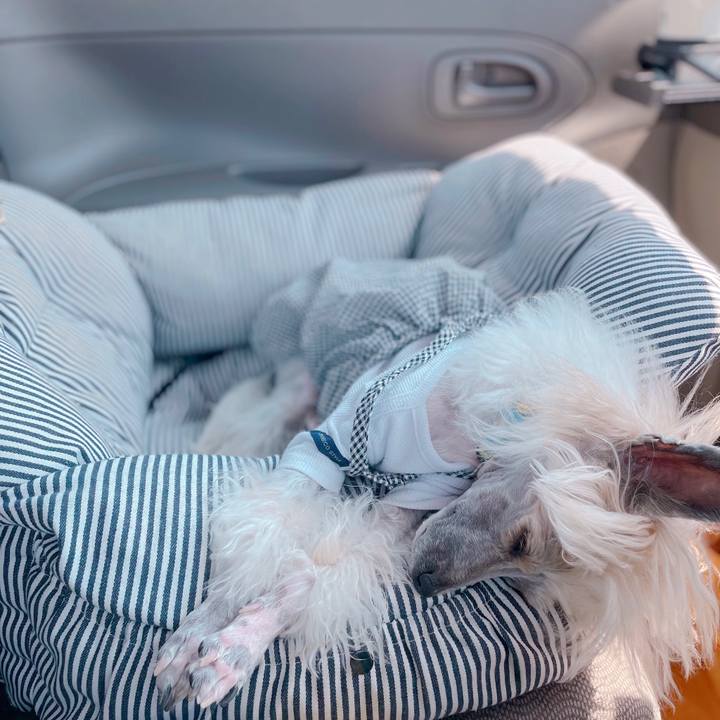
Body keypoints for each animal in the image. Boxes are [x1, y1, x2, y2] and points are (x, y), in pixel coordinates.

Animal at [154, 291, 720, 710]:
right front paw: (193, 641)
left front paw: (235, 649)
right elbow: (262, 540)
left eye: (526, 584)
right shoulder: (321, 449)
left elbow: (321, 573)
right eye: (522, 540)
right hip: (296, 377)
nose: (423, 584)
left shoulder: (413, 505)